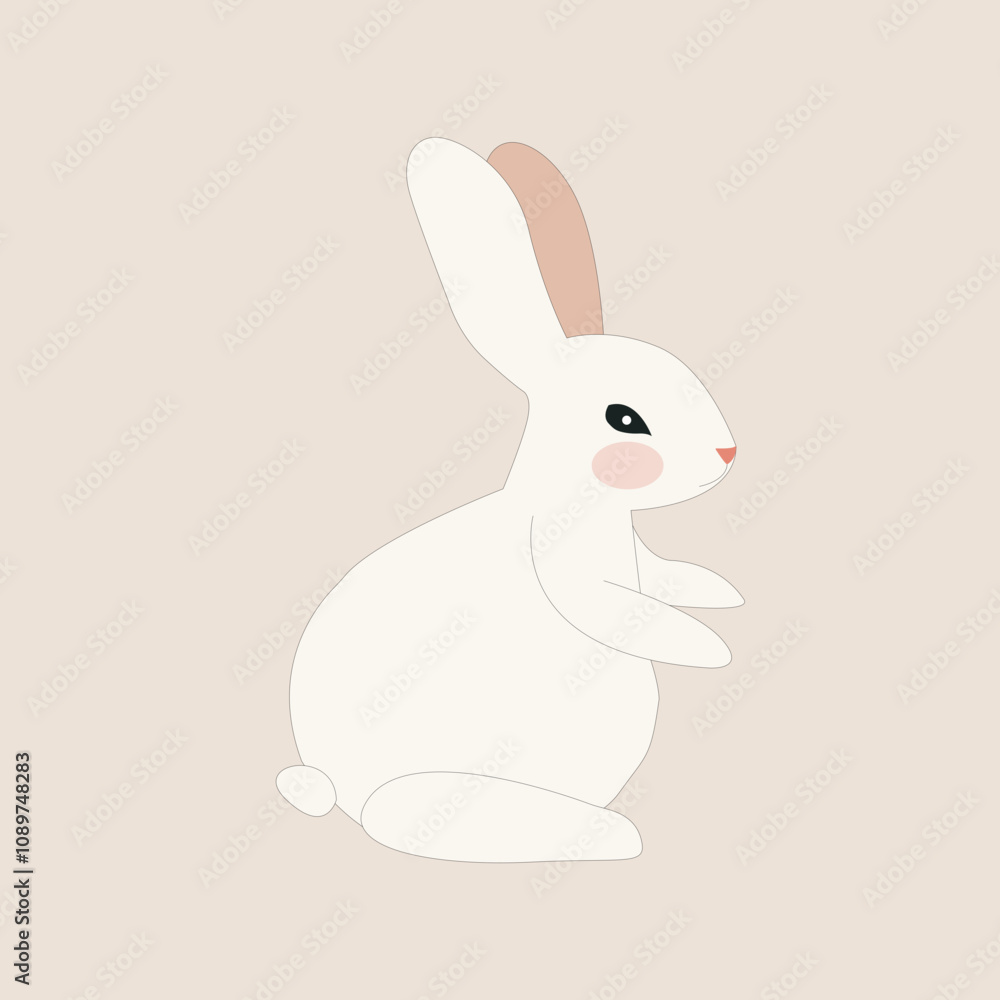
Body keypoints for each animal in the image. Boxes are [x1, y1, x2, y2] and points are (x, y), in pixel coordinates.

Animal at [276, 137, 743, 863]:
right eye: (625, 419)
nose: (728, 454)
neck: (587, 506)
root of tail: (332, 787)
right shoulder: (564, 569)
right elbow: (616, 611)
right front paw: (706, 646)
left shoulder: (636, 554)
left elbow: (662, 576)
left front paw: (715, 592)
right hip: (440, 797)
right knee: (410, 822)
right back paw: (607, 833)